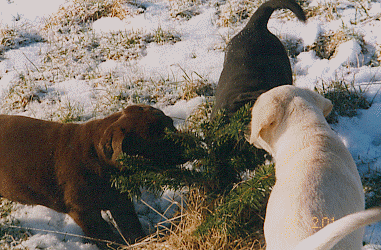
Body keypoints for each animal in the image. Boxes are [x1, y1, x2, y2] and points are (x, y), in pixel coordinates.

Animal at [0, 104, 186, 247]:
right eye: (159, 140)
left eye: (171, 123)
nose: (189, 142)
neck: (97, 158)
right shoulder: (83, 211)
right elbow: (104, 235)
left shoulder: (120, 200)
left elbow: (131, 226)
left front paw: (142, 242)